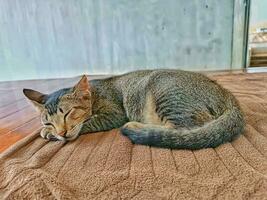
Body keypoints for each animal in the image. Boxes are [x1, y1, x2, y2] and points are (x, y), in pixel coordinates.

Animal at [22, 69, 245, 149]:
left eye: (68, 113)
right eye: (49, 120)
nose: (61, 132)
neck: (95, 93)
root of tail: (227, 94)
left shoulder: (114, 114)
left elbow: (88, 122)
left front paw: (50, 134)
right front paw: (48, 130)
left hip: (165, 90)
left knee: (184, 130)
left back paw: (137, 127)